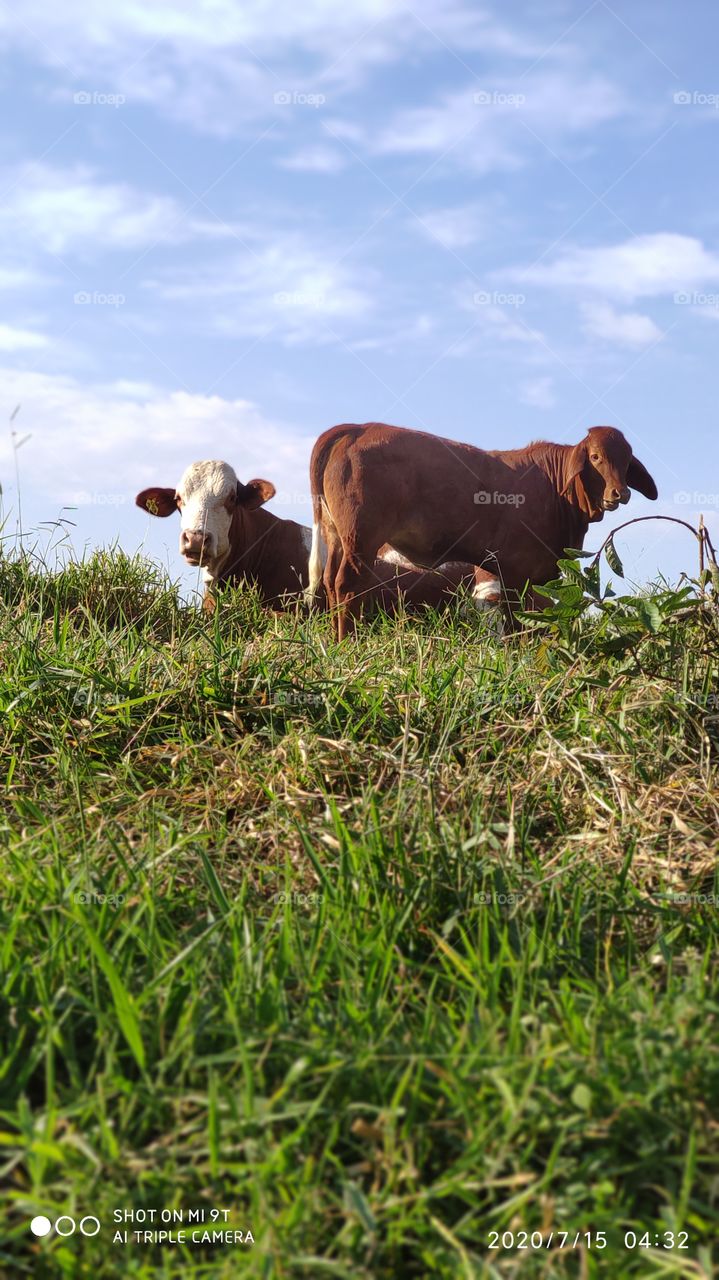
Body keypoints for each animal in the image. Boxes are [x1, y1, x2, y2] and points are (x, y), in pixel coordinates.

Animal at [307, 423, 658, 639]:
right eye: (596, 457)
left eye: (627, 461)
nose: (620, 493)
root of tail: (358, 428)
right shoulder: (515, 572)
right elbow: (516, 623)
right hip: (361, 540)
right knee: (346, 585)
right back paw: (347, 641)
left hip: (335, 536)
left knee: (329, 581)